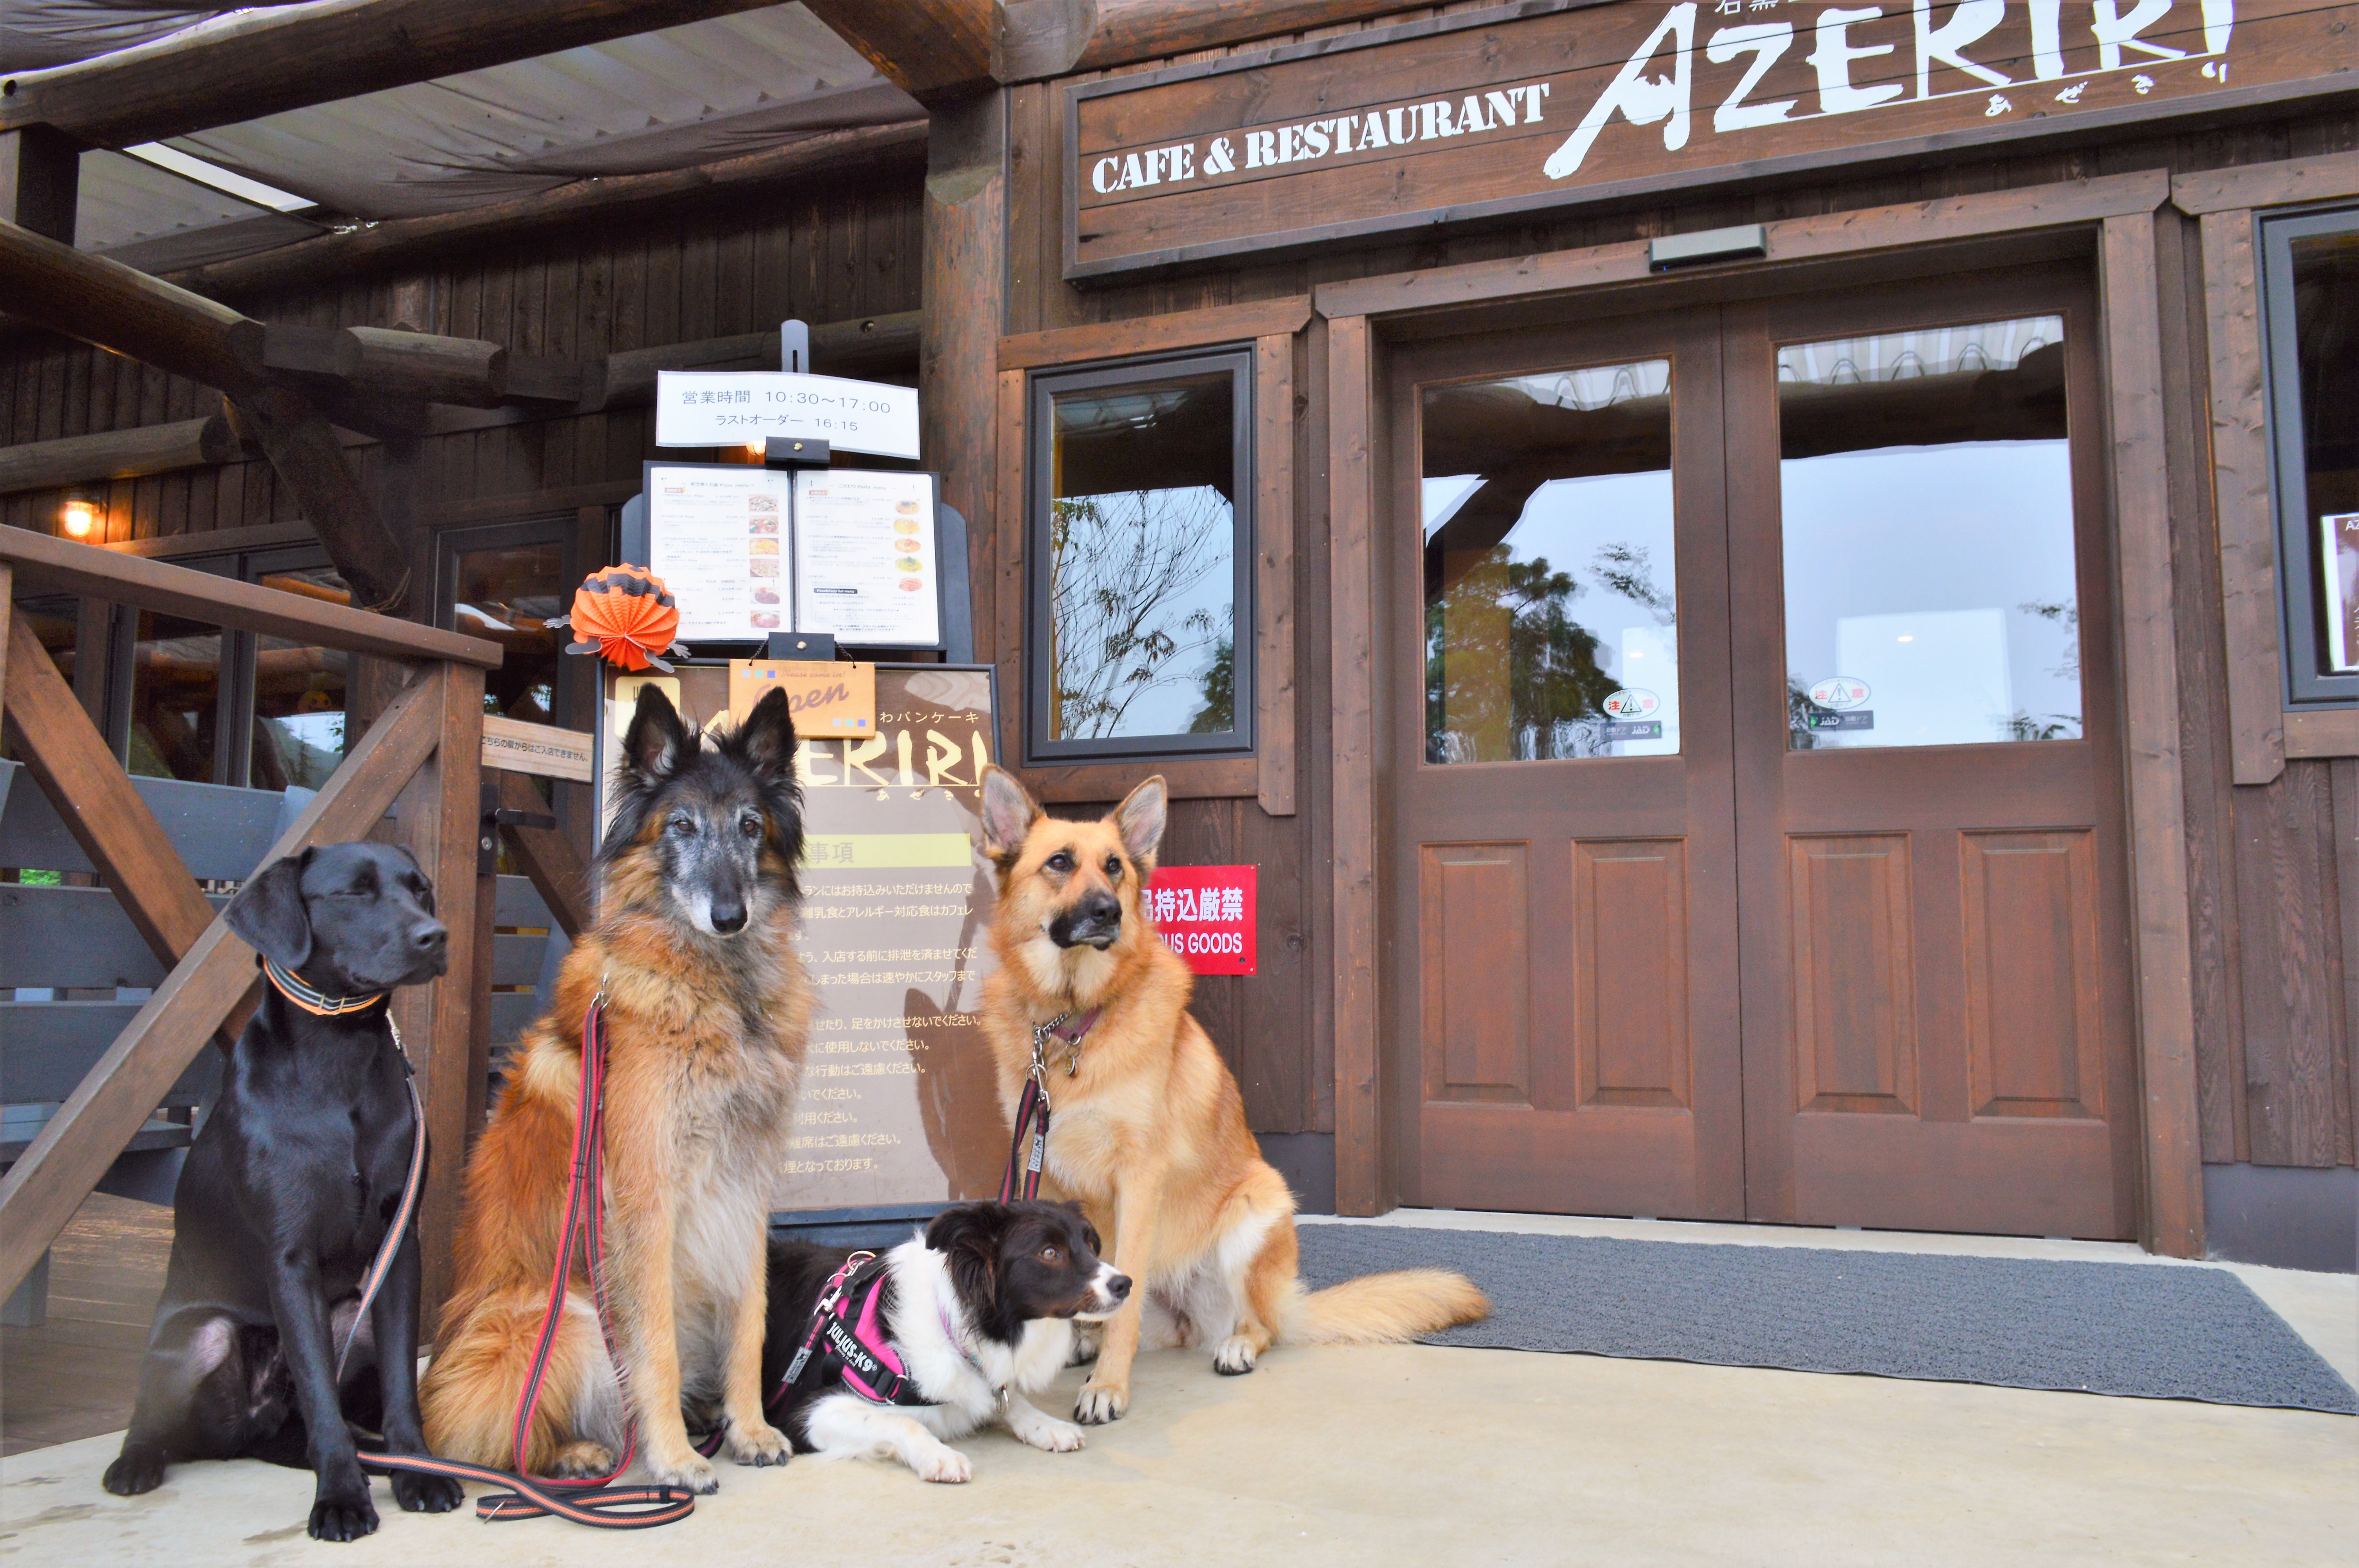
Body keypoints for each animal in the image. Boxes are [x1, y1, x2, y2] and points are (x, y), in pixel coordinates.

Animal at [102, 844, 465, 1537]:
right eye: (352, 892)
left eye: (421, 890)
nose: (436, 937)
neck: (340, 1058)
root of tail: (255, 1425)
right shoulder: (288, 1255)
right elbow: (321, 1394)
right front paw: (342, 1496)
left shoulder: (399, 1246)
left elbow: (402, 1385)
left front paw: (416, 1471)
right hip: (196, 1338)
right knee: (159, 1423)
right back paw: (135, 1464)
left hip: (354, 1317)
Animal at [424, 688, 821, 1490]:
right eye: (681, 826)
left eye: (750, 826)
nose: (728, 916)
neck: (717, 990)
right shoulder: (645, 1200)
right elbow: (654, 1346)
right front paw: (672, 1458)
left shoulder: (745, 1189)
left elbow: (751, 1319)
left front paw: (749, 1429)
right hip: (560, 1317)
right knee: (490, 1438)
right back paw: (583, 1453)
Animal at [755, 1198, 1123, 1481]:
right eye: (1049, 1252)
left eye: (1090, 1245)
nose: (1125, 1284)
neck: (953, 1326)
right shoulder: (804, 1413)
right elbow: (901, 1422)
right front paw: (939, 1456)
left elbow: (1008, 1399)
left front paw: (1045, 1425)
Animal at [972, 764, 1481, 1424]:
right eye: (1059, 862)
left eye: (1115, 867)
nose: (1109, 912)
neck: (1073, 1022)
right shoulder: (1051, 1177)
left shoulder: (1140, 1180)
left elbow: (1124, 1309)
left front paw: (1108, 1387)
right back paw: (1086, 1339)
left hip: (1256, 1207)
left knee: (1261, 1326)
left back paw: (1235, 1343)